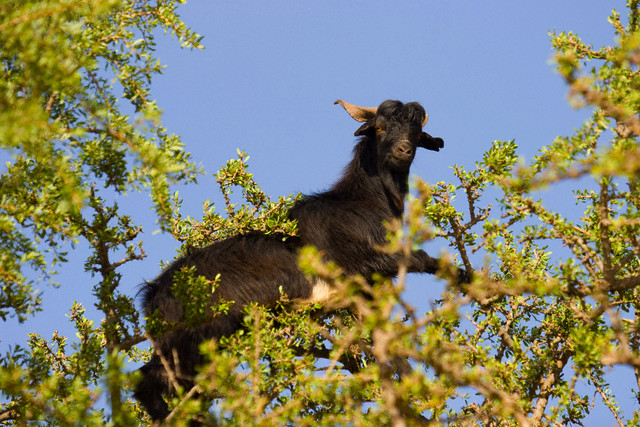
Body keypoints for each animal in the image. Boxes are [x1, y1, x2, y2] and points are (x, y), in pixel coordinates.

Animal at [136, 99, 464, 422]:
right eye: (380, 128)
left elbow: (386, 339)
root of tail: (153, 295)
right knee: (149, 379)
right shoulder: (358, 265)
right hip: (195, 334)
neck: (363, 204)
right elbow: (422, 259)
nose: (403, 150)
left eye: (417, 132)